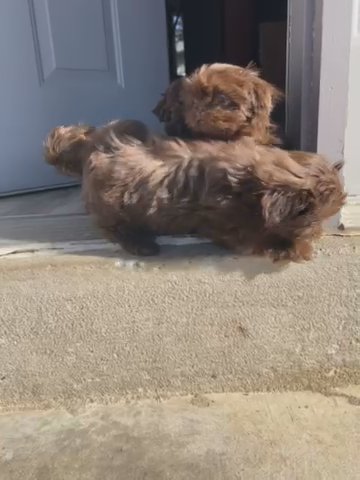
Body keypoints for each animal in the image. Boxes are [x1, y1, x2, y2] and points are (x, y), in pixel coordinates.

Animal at [43, 120, 344, 262]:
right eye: (314, 218)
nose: (318, 233)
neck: (250, 182)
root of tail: (88, 147)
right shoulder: (230, 224)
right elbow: (258, 236)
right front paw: (292, 247)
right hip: (112, 205)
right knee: (113, 226)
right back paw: (140, 243)